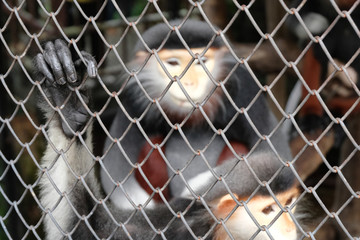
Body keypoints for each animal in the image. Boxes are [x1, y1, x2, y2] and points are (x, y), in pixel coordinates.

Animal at [97, 19, 292, 210]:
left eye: (201, 62)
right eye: (173, 63)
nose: (188, 83)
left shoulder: (246, 90)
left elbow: (277, 161)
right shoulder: (132, 97)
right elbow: (115, 172)